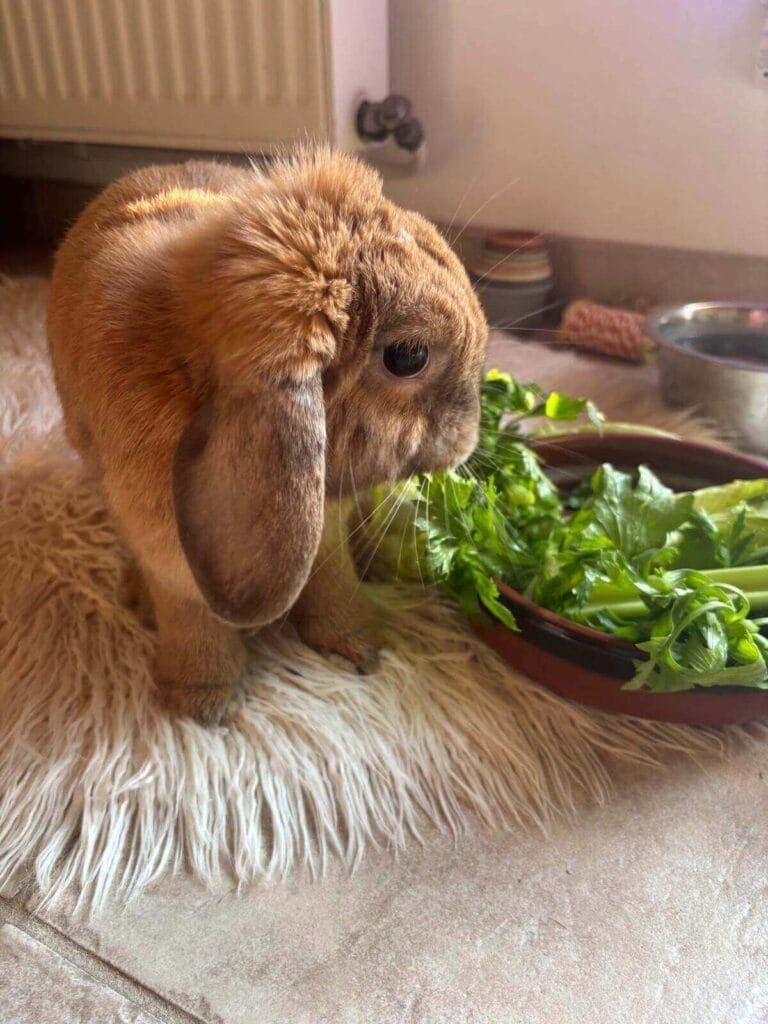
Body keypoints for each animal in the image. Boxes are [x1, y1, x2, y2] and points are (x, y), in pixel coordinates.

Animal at [47, 148, 488, 724]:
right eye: (408, 357)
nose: (470, 435)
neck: (191, 371)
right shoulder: (169, 556)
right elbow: (191, 617)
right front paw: (201, 702)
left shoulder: (324, 535)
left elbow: (333, 580)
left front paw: (362, 646)